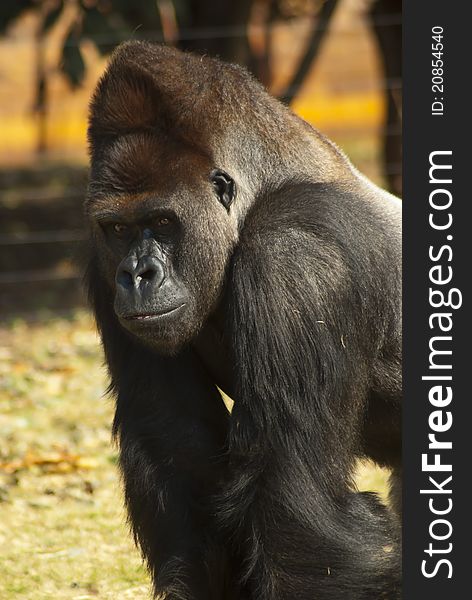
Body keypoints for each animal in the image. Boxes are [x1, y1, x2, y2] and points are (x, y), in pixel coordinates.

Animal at [85, 42, 402, 600]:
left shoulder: (294, 255)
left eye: (162, 222)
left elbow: (296, 505)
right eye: (118, 228)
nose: (137, 276)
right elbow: (180, 450)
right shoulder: (103, 267)